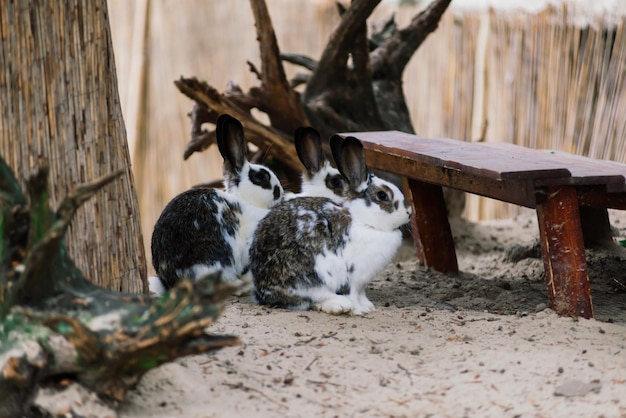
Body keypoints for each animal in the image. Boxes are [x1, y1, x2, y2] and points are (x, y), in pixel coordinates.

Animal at [246, 134, 412, 314]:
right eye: (382, 195)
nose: (409, 213)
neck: (363, 221)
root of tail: (263, 291)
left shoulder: (361, 284)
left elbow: (361, 295)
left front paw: (368, 306)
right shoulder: (351, 277)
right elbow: (352, 294)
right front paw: (359, 310)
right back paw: (340, 305)